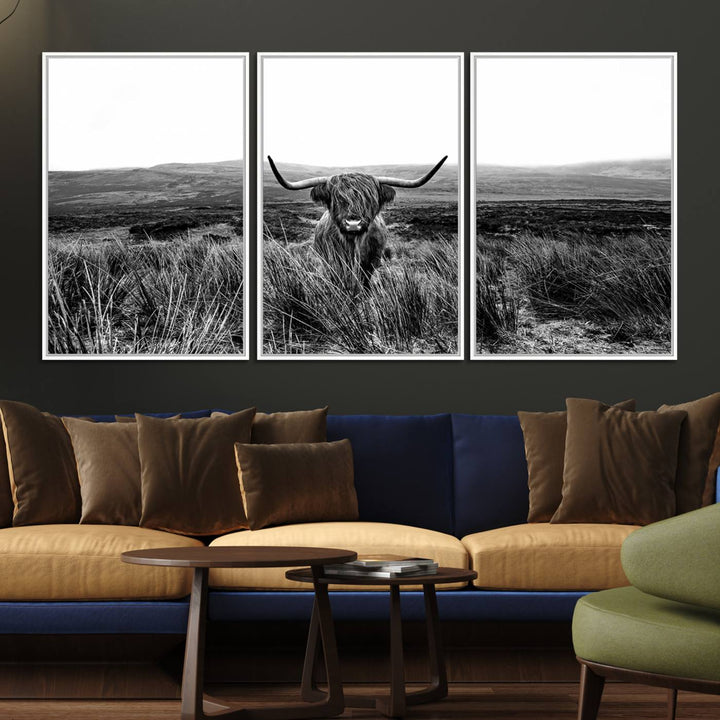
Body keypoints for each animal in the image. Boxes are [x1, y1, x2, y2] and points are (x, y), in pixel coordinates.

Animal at [268, 155, 448, 286]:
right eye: (337, 199)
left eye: (369, 199)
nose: (353, 224)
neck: (352, 245)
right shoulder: (332, 262)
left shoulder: (370, 264)